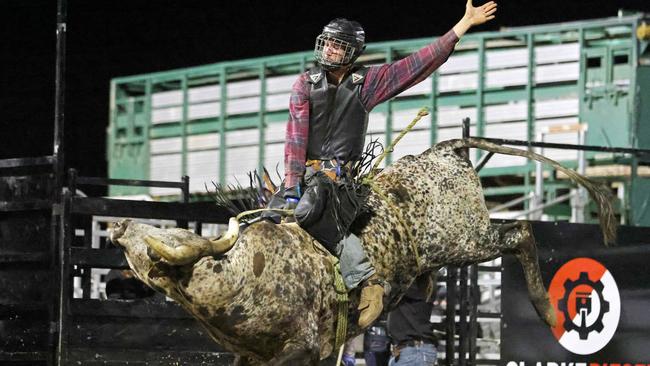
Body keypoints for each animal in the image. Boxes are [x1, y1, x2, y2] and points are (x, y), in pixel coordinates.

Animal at [107, 137, 612, 364]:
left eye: (163, 242)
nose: (118, 225)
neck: (239, 276)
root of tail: (445, 150)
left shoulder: (302, 348)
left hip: (464, 239)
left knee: (521, 232)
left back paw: (548, 309)